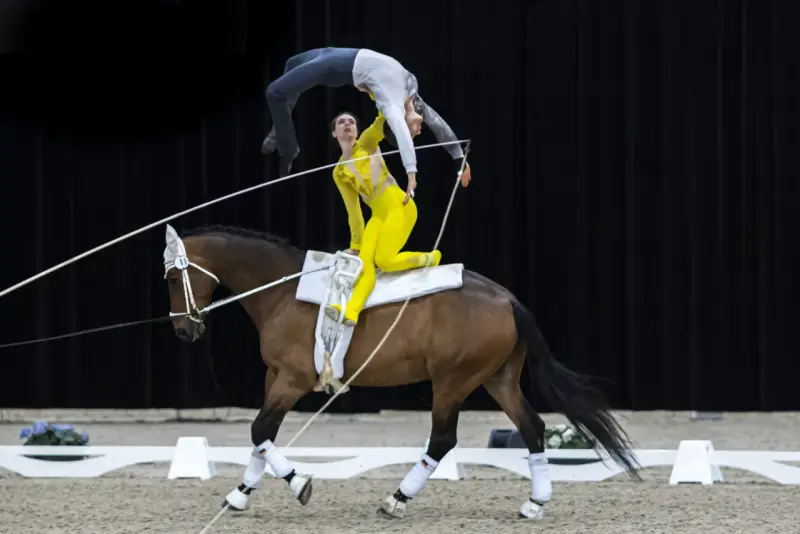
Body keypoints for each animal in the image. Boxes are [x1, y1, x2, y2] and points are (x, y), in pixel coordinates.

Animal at [161, 223, 641, 521]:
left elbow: (260, 429)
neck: (283, 291)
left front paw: (300, 485)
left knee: (443, 439)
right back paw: (534, 504)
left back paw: (396, 500)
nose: (184, 329)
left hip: (452, 382)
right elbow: (263, 436)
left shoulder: (292, 381)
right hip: (497, 379)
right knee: (533, 427)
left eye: (170, 277)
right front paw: (239, 495)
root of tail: (506, 299)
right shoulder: (274, 376)